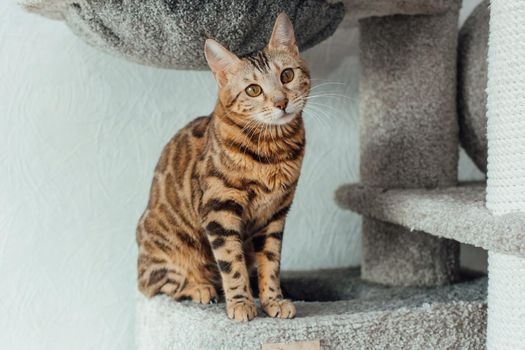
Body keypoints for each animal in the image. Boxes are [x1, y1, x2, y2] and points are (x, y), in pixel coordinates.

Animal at [135, 13, 310, 322]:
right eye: (253, 90)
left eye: (287, 75)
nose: (282, 102)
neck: (273, 152)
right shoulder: (219, 208)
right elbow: (231, 262)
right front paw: (240, 303)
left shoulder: (276, 213)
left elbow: (270, 262)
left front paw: (273, 300)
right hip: (169, 248)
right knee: (155, 284)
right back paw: (202, 288)